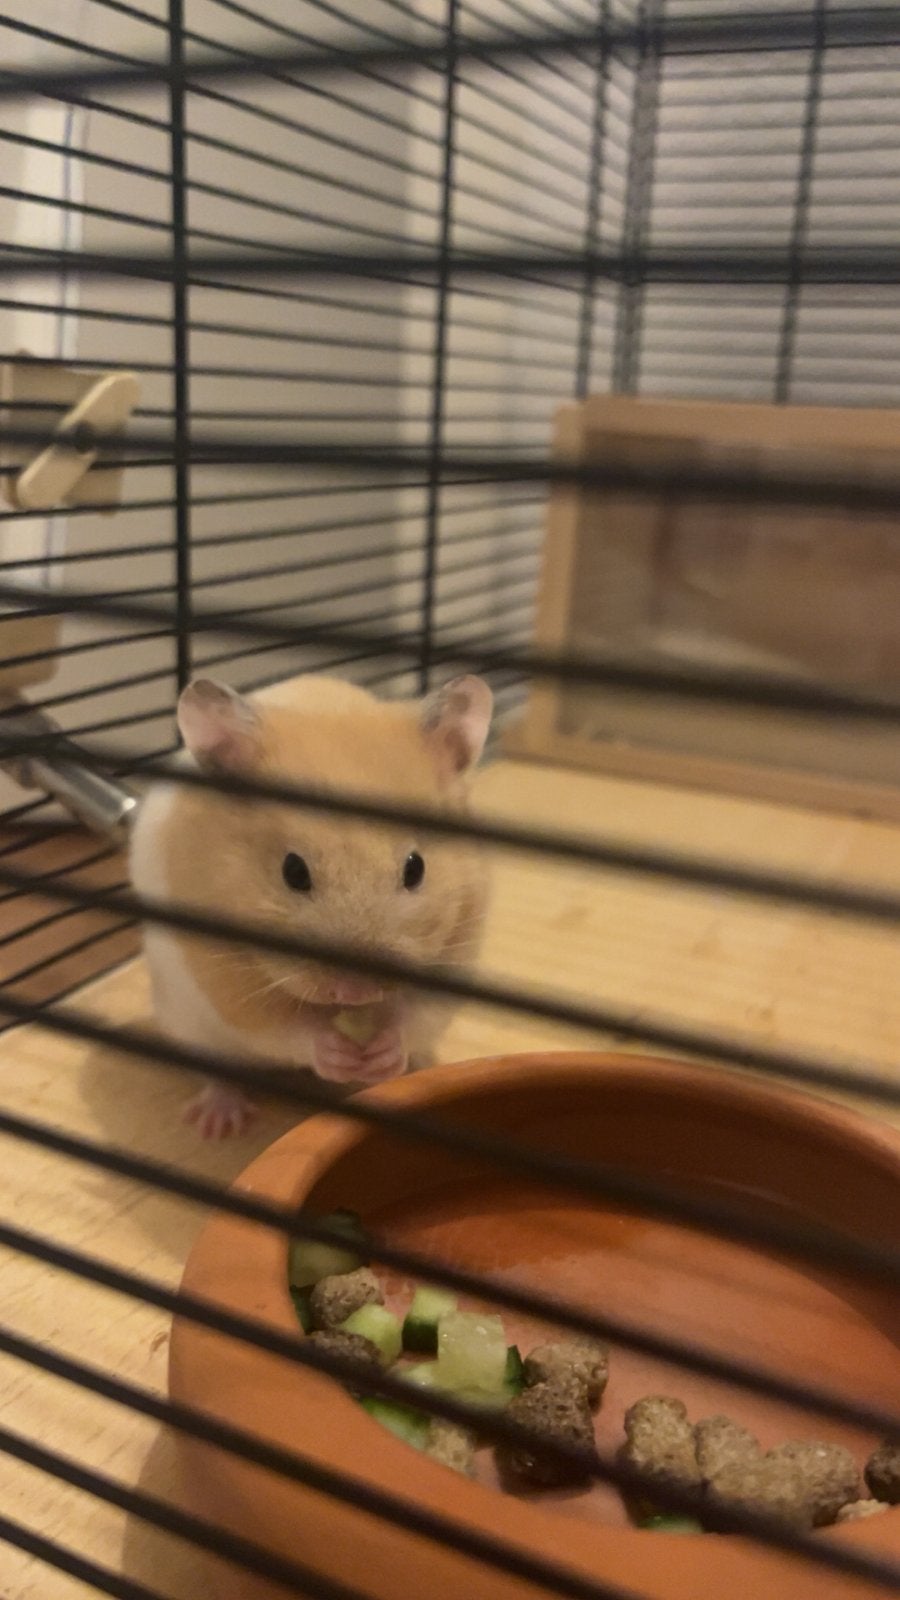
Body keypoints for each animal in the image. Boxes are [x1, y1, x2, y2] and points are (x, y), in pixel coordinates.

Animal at [129, 672, 493, 1137]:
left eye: (416, 868)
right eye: (294, 872)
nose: (357, 992)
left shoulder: (458, 946)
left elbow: (416, 1015)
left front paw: (379, 1059)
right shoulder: (221, 976)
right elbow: (284, 1027)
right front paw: (342, 1057)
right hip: (189, 1023)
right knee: (219, 1072)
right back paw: (218, 1123)